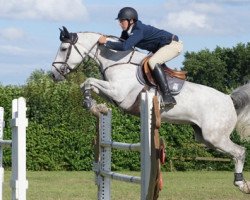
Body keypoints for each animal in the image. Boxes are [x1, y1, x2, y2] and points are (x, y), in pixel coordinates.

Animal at [51, 25, 250, 193]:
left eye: (63, 49)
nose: (53, 75)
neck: (117, 61)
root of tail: (229, 99)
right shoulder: (113, 94)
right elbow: (88, 84)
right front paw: (97, 107)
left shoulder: (119, 93)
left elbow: (88, 81)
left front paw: (90, 105)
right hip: (205, 138)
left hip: (215, 136)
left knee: (240, 152)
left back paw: (241, 183)